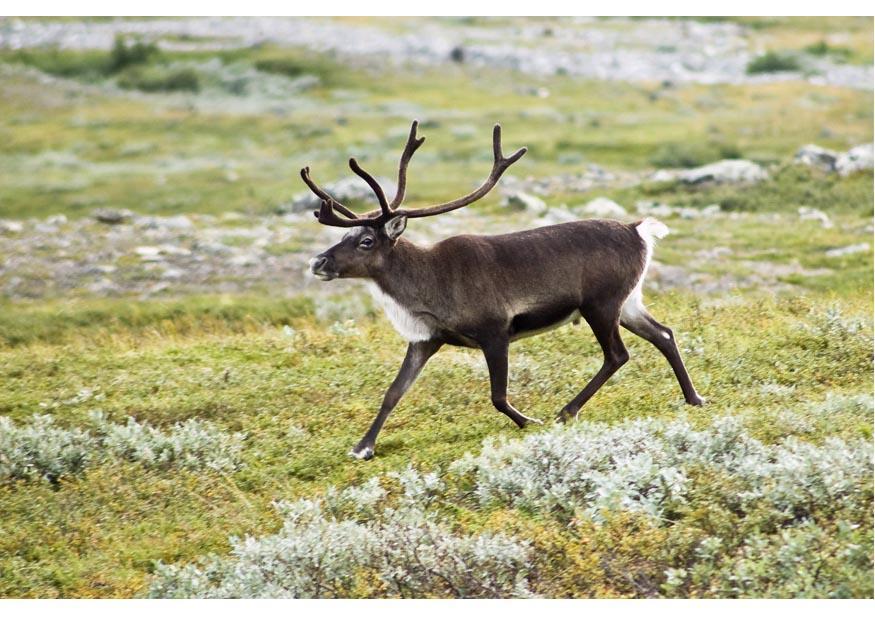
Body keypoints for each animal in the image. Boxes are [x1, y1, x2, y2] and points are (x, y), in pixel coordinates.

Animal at [304, 121, 704, 460]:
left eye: (366, 241)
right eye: (346, 235)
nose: (318, 262)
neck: (427, 284)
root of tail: (638, 230)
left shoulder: (495, 330)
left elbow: (497, 395)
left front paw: (530, 421)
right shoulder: (427, 339)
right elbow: (392, 392)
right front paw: (362, 447)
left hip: (600, 304)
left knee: (617, 355)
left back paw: (566, 411)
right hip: (628, 303)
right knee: (664, 334)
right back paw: (694, 398)